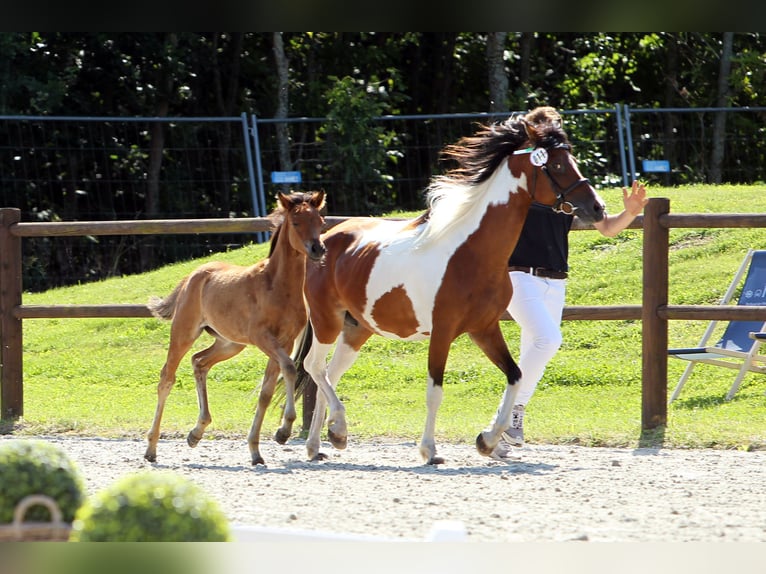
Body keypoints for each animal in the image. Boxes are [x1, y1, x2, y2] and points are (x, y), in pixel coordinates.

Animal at [144, 191, 328, 466]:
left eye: (321, 222)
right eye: (296, 223)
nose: (318, 249)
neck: (277, 286)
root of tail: (193, 276)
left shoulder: (284, 342)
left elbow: (266, 392)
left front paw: (256, 451)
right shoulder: (263, 338)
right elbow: (289, 369)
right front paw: (283, 431)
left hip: (230, 343)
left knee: (199, 362)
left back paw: (196, 433)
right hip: (184, 332)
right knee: (167, 377)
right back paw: (151, 448)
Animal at [300, 107, 608, 468]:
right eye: (557, 165)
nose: (597, 208)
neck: (471, 252)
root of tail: (325, 240)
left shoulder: (484, 328)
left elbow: (515, 375)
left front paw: (488, 441)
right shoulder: (443, 331)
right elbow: (435, 390)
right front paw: (430, 450)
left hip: (357, 328)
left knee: (330, 373)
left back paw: (323, 441)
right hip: (326, 321)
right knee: (314, 367)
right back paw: (337, 429)